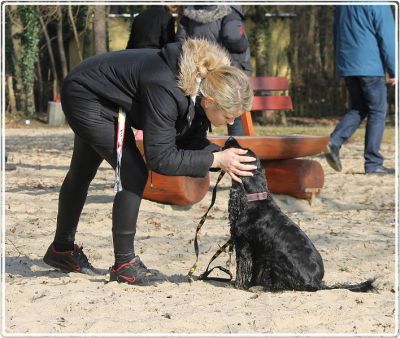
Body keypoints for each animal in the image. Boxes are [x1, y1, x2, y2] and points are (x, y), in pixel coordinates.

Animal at [223, 137, 374, 294]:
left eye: (243, 151)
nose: (230, 138)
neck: (255, 198)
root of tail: (316, 283)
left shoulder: (244, 245)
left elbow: (242, 268)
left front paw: (238, 285)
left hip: (273, 258)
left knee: (281, 285)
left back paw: (260, 287)